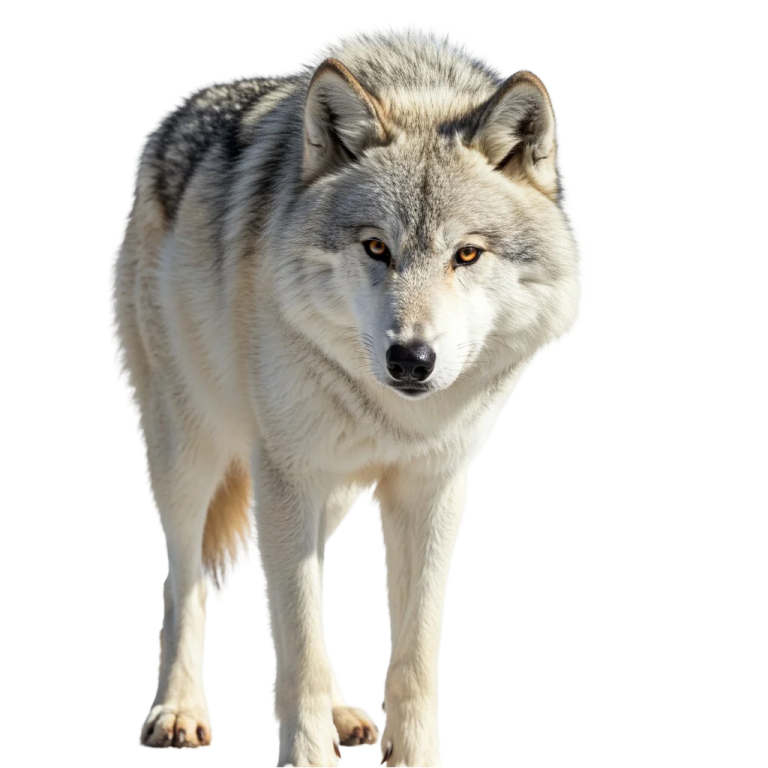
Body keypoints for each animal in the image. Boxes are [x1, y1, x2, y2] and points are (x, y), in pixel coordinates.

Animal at [107, 22, 586, 766]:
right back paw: (180, 712)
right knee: (182, 580)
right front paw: (306, 759)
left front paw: (415, 760)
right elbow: (296, 647)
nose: (411, 359)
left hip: (321, 494)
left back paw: (342, 714)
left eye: (467, 255)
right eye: (376, 248)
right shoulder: (288, 476)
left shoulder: (432, 488)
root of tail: (173, 114)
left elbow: (413, 658)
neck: (395, 417)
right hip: (190, 456)